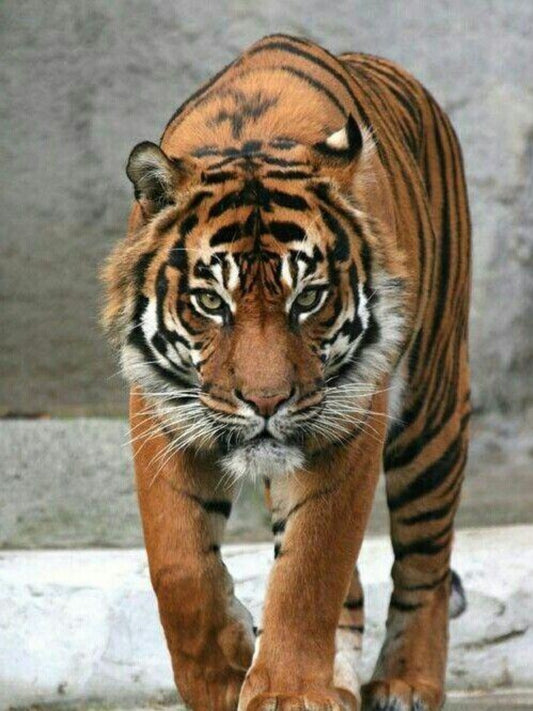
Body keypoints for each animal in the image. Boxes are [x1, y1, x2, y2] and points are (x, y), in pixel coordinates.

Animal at [103, 33, 471, 711]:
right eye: (210, 302)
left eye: (309, 298)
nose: (267, 403)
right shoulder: (162, 409)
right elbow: (179, 565)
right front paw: (223, 675)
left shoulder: (349, 417)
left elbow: (310, 570)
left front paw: (287, 692)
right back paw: (341, 678)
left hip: (431, 411)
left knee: (424, 562)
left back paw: (406, 682)